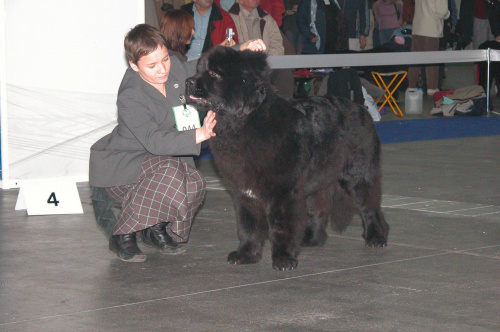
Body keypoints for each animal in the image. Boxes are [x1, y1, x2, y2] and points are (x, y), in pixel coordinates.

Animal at [186, 46, 388, 270]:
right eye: (199, 70)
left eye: (214, 73)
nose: (189, 82)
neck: (244, 121)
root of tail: (361, 108)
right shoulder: (245, 192)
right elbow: (248, 226)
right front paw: (246, 254)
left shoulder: (283, 192)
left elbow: (281, 226)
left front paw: (284, 258)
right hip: (318, 180)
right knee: (318, 210)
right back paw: (311, 239)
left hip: (357, 174)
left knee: (369, 205)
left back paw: (376, 237)